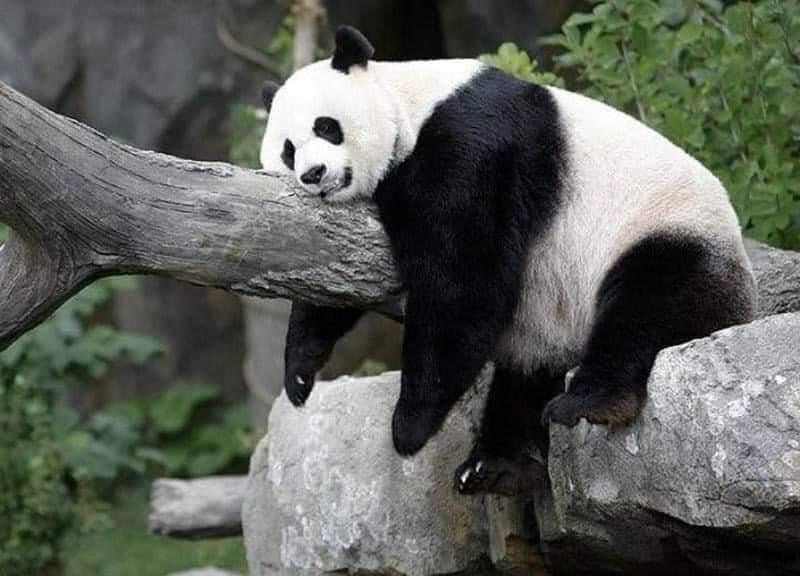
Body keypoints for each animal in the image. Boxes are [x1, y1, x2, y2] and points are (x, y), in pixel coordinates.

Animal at [258, 25, 756, 496]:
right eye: (288, 149)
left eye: (327, 127)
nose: (313, 174)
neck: (409, 105)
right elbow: (335, 276)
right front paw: (299, 373)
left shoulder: (471, 146)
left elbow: (463, 281)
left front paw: (409, 426)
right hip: (550, 321)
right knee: (526, 376)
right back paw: (495, 464)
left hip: (665, 233)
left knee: (647, 306)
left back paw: (589, 402)